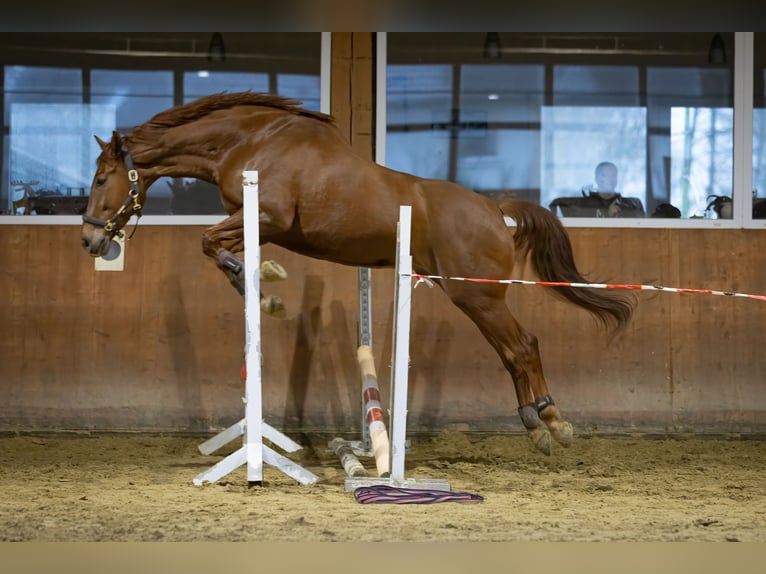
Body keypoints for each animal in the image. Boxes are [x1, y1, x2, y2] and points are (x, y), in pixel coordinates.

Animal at [79, 92, 636, 456]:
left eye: (102, 178)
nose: (89, 241)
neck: (252, 140)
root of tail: (496, 210)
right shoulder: (256, 222)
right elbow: (219, 248)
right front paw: (257, 286)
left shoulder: (267, 216)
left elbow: (210, 242)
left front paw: (266, 292)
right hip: (477, 297)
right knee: (514, 349)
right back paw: (537, 421)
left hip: (477, 296)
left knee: (522, 346)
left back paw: (550, 425)